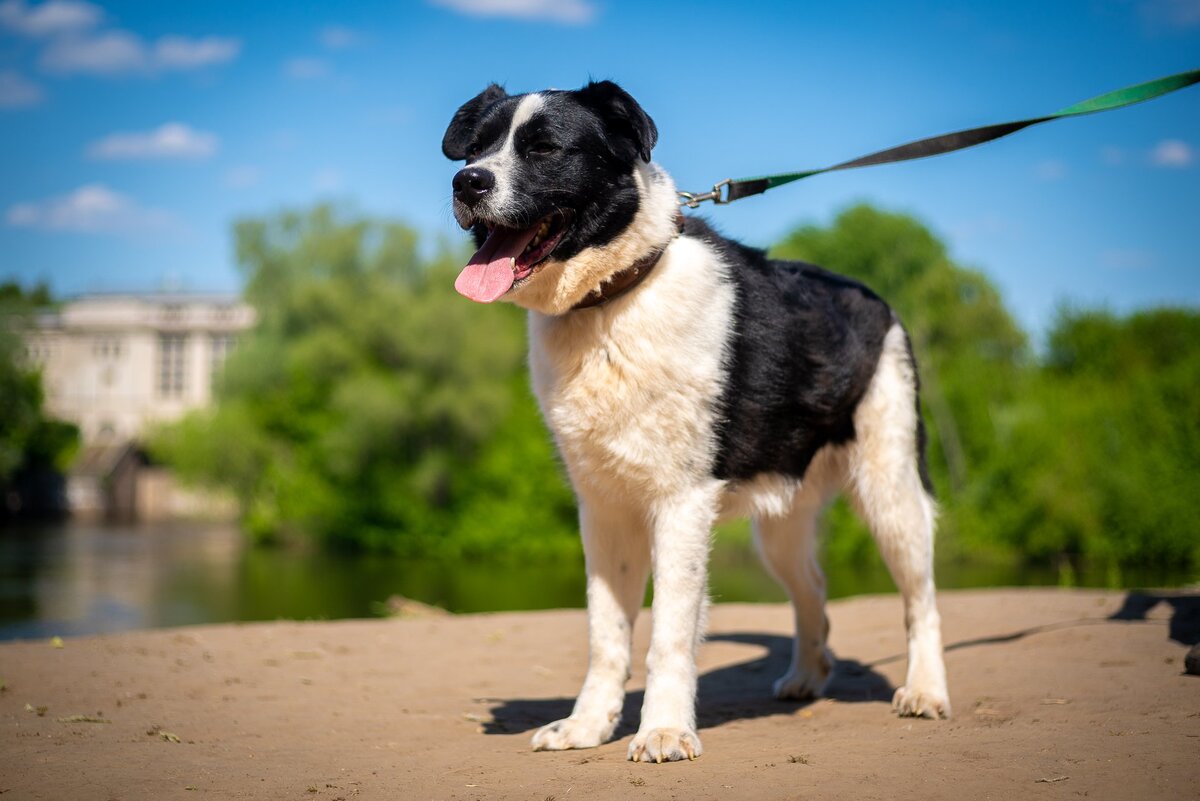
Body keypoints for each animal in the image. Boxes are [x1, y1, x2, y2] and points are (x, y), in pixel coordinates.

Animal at [439, 81, 945, 762]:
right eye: (476, 147)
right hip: (781, 525)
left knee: (922, 601)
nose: (468, 182)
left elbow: (669, 635)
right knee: (813, 588)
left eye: (544, 148)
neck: (613, 301)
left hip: (891, 491)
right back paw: (808, 677)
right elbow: (606, 634)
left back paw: (926, 691)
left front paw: (663, 731)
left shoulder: (680, 505)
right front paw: (587, 726)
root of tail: (877, 300)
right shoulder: (604, 510)